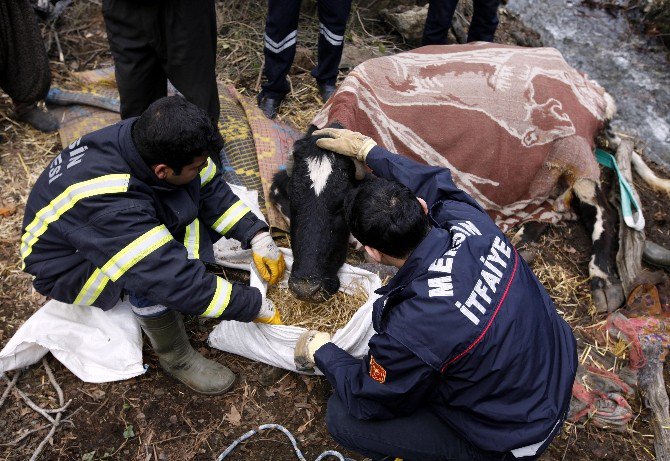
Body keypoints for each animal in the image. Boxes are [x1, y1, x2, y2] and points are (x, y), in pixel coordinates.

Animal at [272, 43, 668, 310]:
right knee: (557, 205)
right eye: (294, 201)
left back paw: (603, 279)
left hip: (574, 151)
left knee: (600, 205)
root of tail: (587, 85)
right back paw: (527, 234)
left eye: (342, 207)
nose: (305, 288)